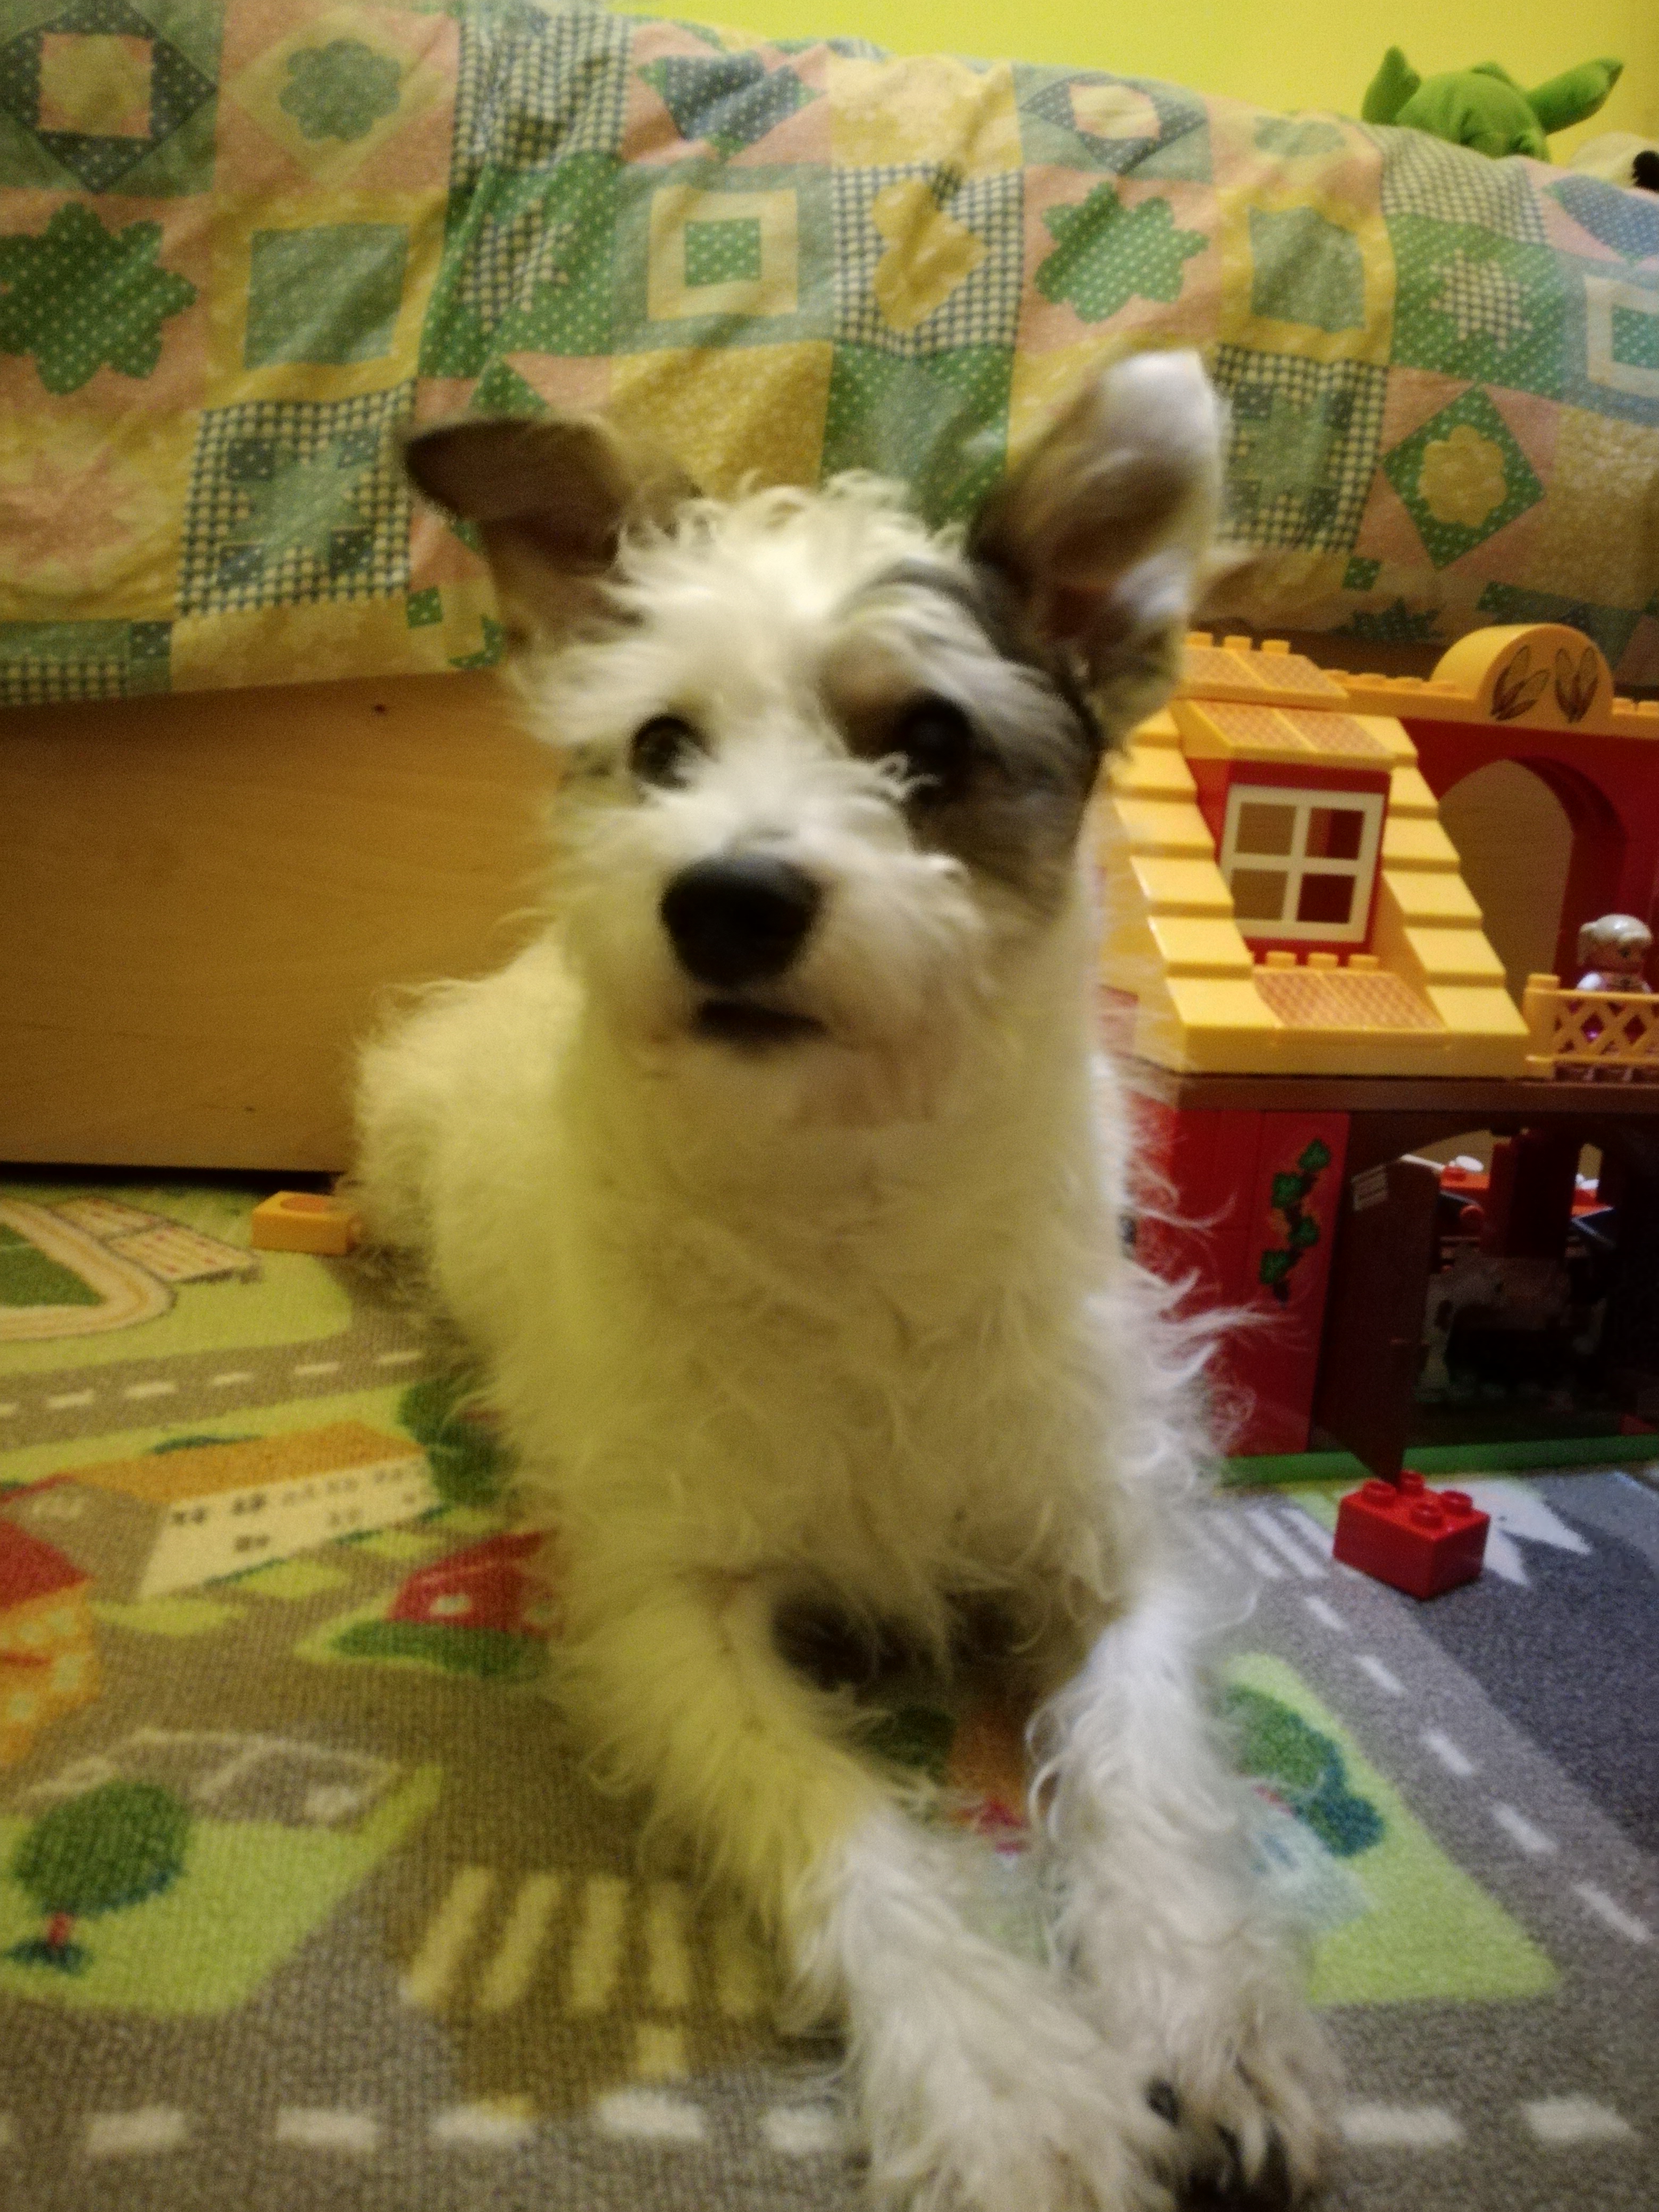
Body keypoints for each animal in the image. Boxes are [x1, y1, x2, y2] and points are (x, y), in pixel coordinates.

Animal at [353, 351, 1339, 2210]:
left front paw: (1200, 2017)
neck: (846, 1201)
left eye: (927, 740)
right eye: (660, 744)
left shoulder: (1108, 1557)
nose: (724, 901)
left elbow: (1145, 1779)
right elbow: (846, 1832)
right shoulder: (677, 1611)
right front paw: (1011, 2090)